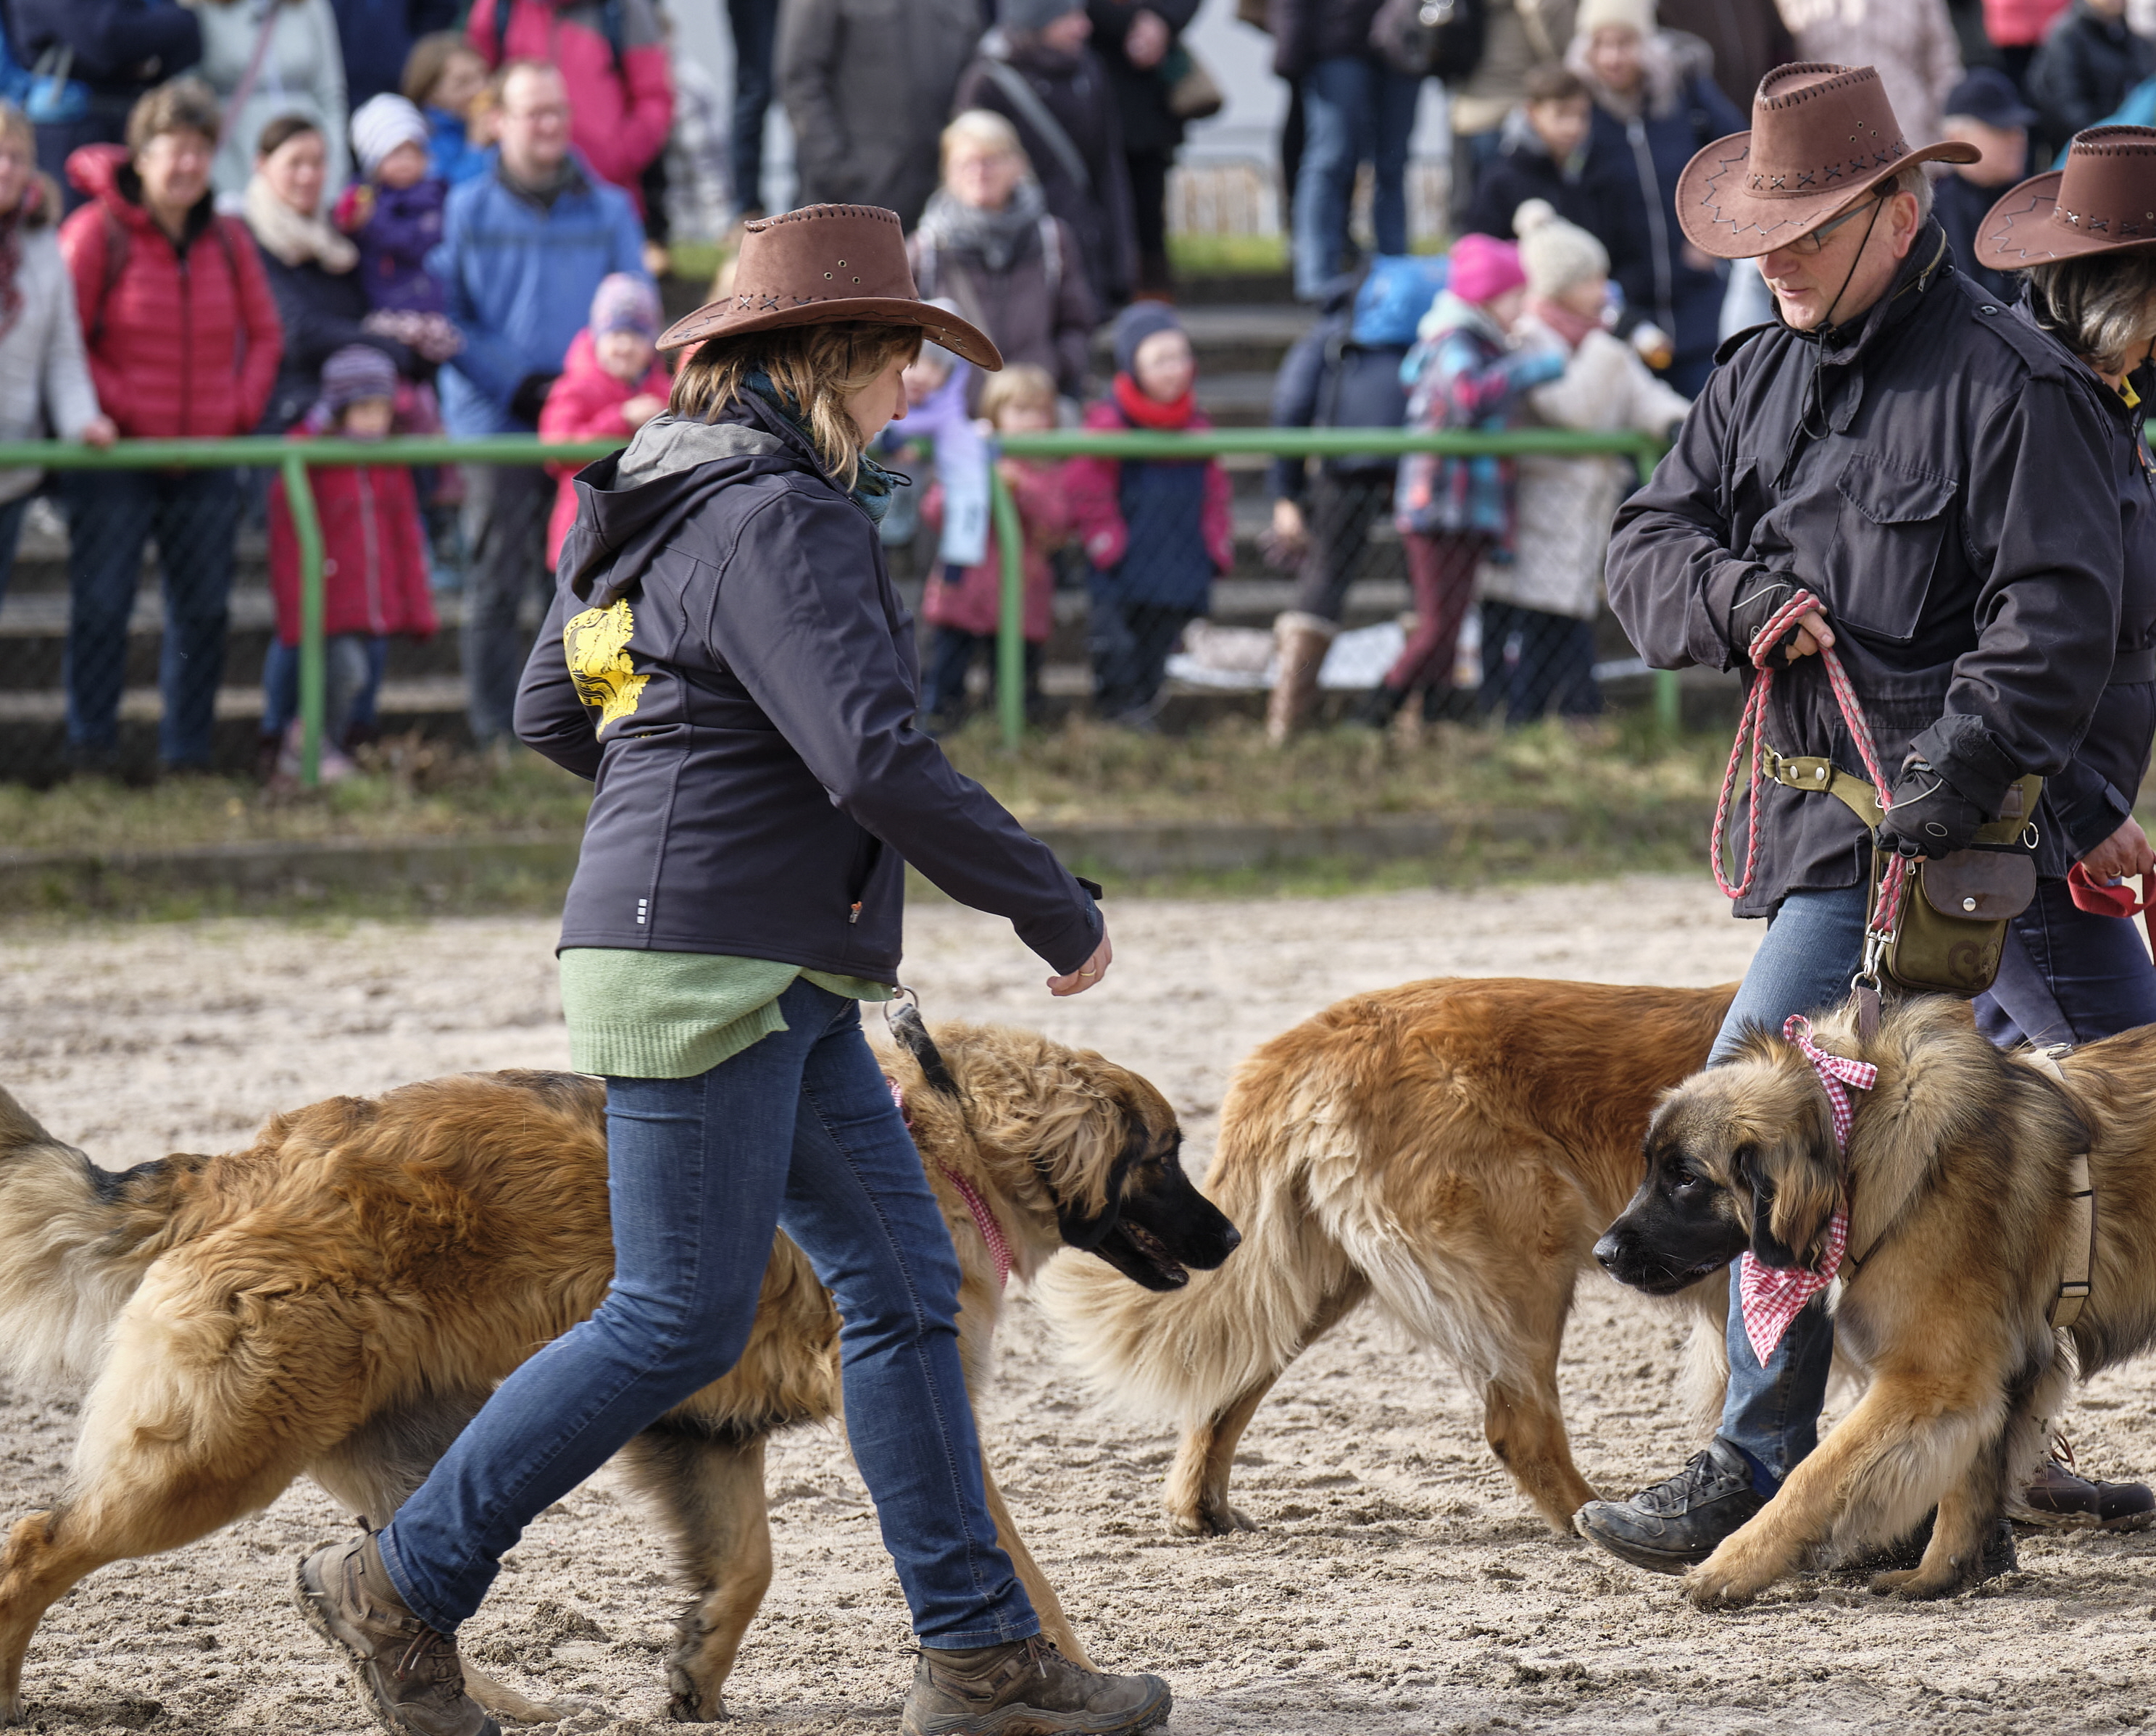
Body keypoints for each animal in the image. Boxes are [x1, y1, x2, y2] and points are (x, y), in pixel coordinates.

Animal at [0, 1017, 1241, 1716]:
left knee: (385, 1575)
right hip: (219, 1454)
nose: (1231, 1239)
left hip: (410, 1453)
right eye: (1166, 1156)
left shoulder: (703, 1431)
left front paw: (696, 1676)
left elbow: (746, 1568)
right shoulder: (902, 1391)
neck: (949, 1135)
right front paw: (1058, 1674)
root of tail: (235, 1167)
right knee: (37, 1544)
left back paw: (472, 1697)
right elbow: (1013, 1563)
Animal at [1031, 975, 1733, 1527]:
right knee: (1519, 1429)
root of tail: (1318, 1036)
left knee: (1231, 1382)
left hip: (1314, 1281)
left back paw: (1200, 1509)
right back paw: (1591, 1519)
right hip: (1529, 1257)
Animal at [1586, 988, 2156, 1613]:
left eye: (1685, 1177)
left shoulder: (1930, 1378)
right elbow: (1963, 1484)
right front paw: (1936, 1577)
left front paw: (1732, 1564)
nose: (1601, 1254)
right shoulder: (1983, 1375)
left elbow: (1814, 1476)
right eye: (1650, 1167)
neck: (1856, 1143)